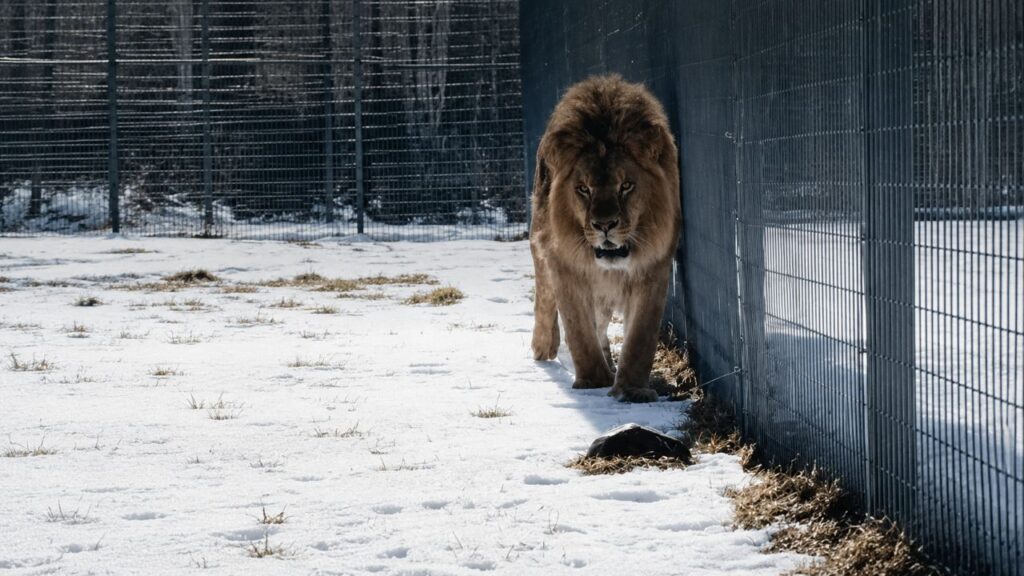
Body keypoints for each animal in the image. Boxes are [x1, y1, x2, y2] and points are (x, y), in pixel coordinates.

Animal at [529, 75, 681, 403]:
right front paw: (593, 382)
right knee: (545, 296)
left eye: (626, 186)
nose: (605, 225)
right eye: (583, 189)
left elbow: (641, 337)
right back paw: (543, 347)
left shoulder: (654, 265)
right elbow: (579, 331)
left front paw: (632, 389)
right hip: (541, 241)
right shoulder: (566, 265)